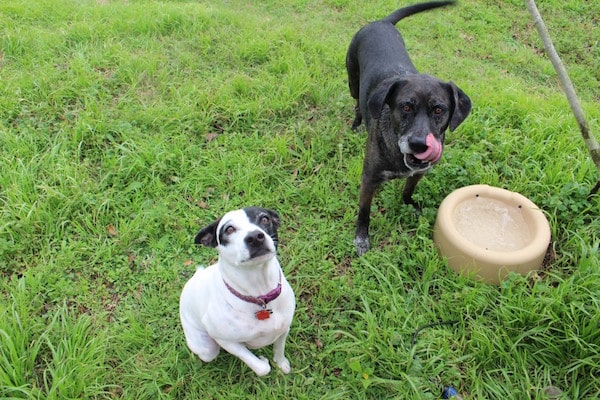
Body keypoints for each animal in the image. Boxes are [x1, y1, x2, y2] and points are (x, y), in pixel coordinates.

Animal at [180, 206, 298, 376]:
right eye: (229, 229)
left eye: (265, 219)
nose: (255, 237)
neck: (260, 294)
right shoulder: (226, 341)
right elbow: (262, 368)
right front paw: (263, 360)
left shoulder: (284, 328)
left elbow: (279, 349)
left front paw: (281, 364)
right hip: (207, 350)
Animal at [346, 0, 474, 256]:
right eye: (406, 106)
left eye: (439, 110)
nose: (419, 144)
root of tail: (382, 22)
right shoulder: (369, 179)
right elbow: (364, 211)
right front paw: (361, 238)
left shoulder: (420, 172)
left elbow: (407, 190)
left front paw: (410, 205)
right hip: (353, 83)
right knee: (356, 104)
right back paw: (356, 125)